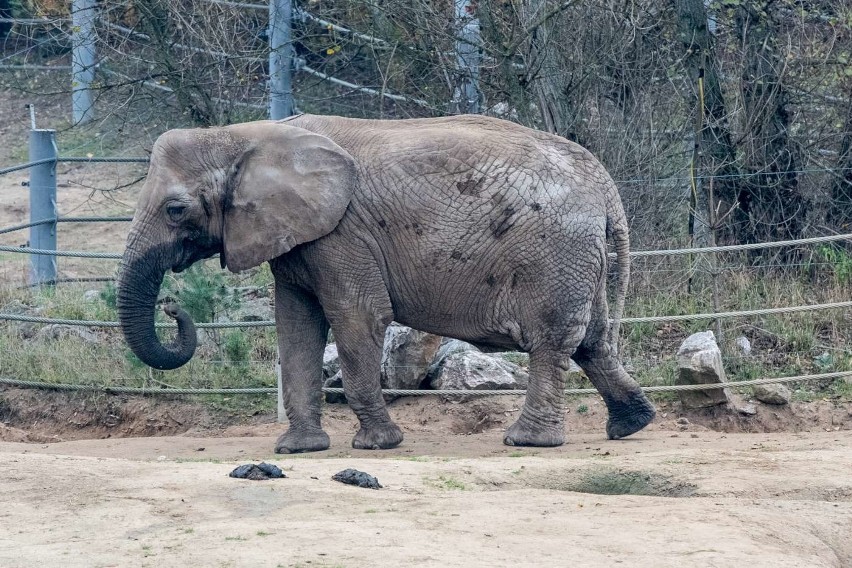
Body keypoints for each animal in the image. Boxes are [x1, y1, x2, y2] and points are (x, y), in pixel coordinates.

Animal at [116, 114, 656, 452]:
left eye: (175, 209)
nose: (171, 305)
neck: (241, 135)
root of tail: (605, 186)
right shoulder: (299, 238)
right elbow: (296, 327)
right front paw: (297, 451)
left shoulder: (342, 233)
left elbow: (357, 317)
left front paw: (377, 445)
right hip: (580, 257)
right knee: (592, 341)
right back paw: (631, 426)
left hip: (555, 251)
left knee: (551, 339)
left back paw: (526, 441)